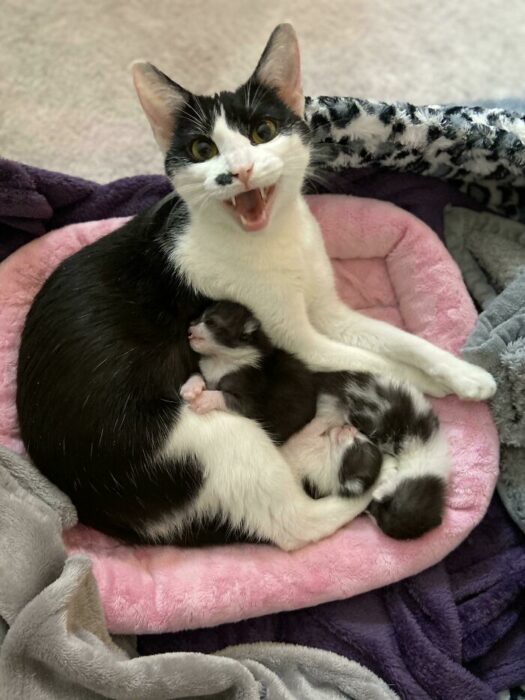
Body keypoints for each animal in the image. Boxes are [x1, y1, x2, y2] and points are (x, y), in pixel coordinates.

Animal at [184, 298, 450, 540]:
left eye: (211, 322)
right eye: (200, 318)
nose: (189, 329)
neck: (223, 361)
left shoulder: (250, 396)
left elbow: (228, 398)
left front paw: (205, 400)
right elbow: (197, 375)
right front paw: (191, 388)